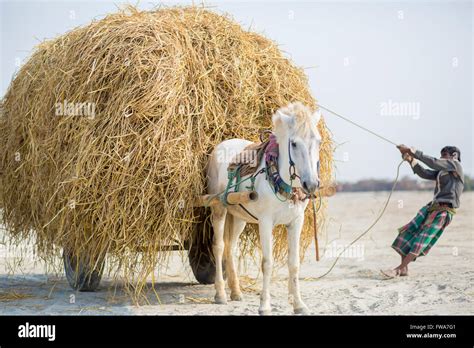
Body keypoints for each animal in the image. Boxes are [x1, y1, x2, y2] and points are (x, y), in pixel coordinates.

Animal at [206, 101, 320, 316]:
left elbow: (294, 264)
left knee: (230, 248)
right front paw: (264, 305)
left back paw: (236, 291)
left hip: (239, 217)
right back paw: (220, 294)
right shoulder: (266, 222)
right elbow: (267, 263)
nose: (311, 184)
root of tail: (221, 146)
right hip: (218, 209)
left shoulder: (296, 222)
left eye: (318, 141)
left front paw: (299, 304)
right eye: (294, 143)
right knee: (219, 247)